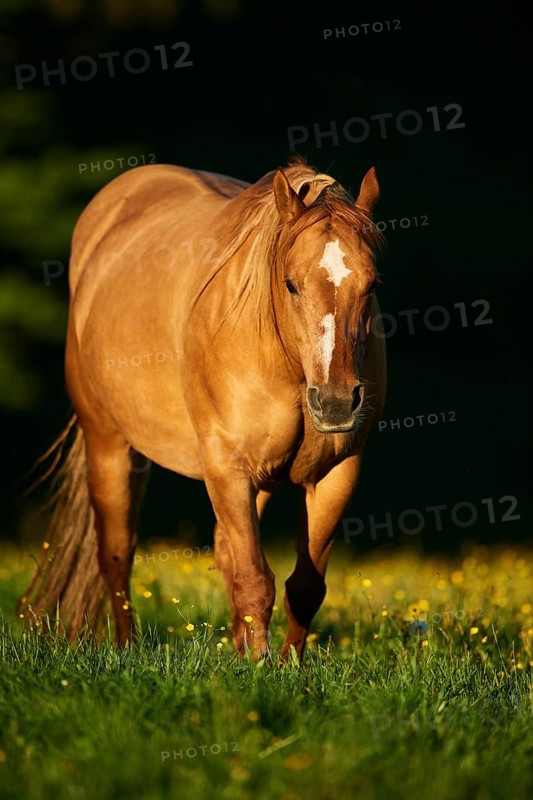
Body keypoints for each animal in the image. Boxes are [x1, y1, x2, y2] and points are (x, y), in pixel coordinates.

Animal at [19, 157, 386, 661]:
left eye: (371, 285)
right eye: (291, 284)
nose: (334, 403)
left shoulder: (336, 473)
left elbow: (304, 587)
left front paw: (285, 666)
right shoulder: (225, 467)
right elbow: (255, 581)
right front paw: (259, 668)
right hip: (108, 443)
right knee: (116, 554)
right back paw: (127, 649)